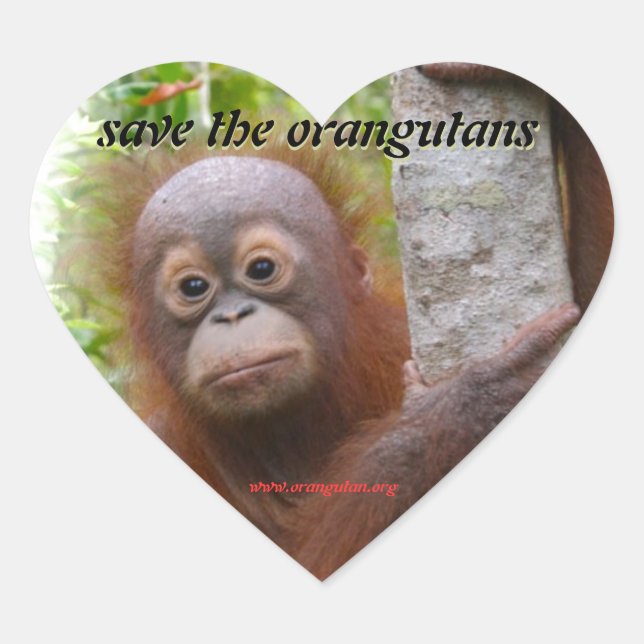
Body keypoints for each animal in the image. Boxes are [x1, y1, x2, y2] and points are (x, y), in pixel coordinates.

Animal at [74, 65, 612, 580]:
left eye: (261, 269)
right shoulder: (162, 434)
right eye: (192, 288)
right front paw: (467, 403)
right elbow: (318, 560)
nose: (232, 315)